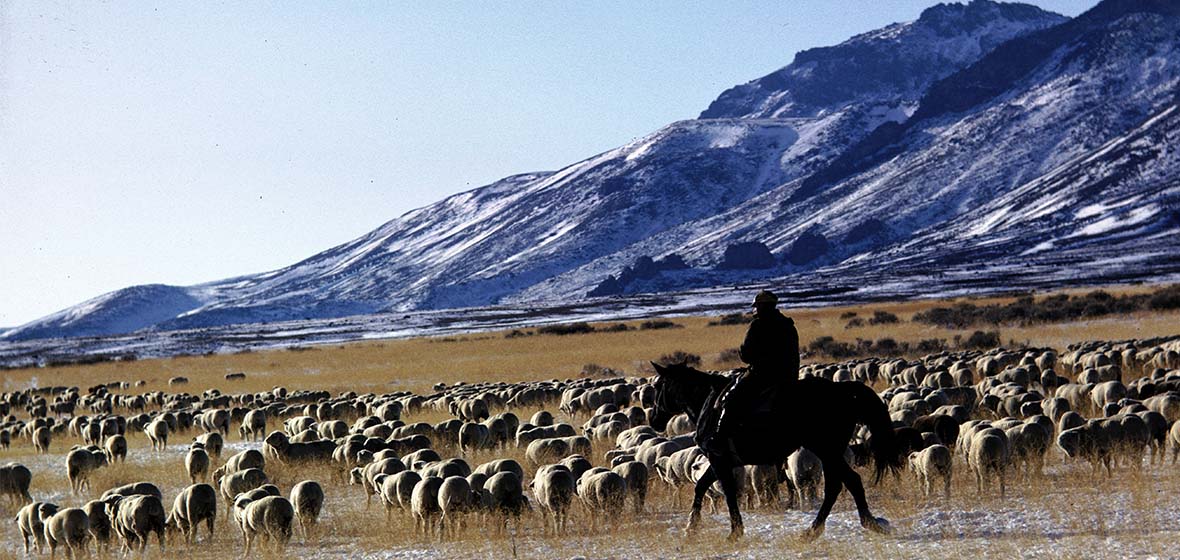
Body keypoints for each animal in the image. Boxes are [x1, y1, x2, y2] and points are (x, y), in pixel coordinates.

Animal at [646, 360, 901, 542]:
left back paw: (817, 530)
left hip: (826, 450)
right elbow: (701, 487)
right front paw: (692, 527)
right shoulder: (721, 462)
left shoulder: (720, 459)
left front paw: (734, 533)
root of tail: (843, 390)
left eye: (658, 386)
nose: (655, 419)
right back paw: (865, 524)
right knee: (846, 483)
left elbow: (727, 494)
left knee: (840, 484)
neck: (707, 403)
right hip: (831, 451)